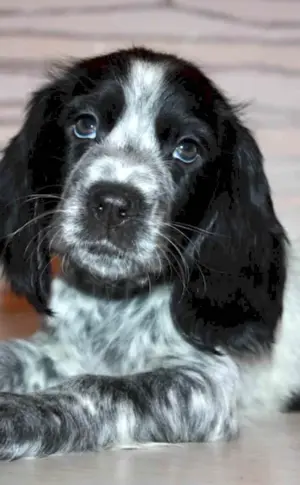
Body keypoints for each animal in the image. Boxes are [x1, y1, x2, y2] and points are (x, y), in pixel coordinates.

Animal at [0, 47, 300, 460]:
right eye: (84, 125)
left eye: (187, 149)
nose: (112, 204)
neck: (114, 304)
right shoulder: (58, 351)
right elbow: (11, 355)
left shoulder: (205, 382)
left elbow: (103, 388)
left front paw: (11, 413)